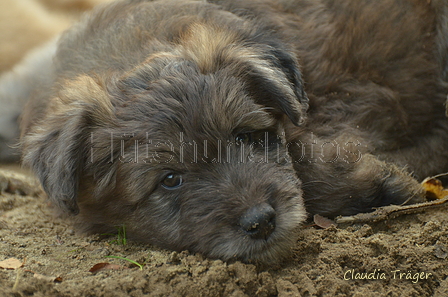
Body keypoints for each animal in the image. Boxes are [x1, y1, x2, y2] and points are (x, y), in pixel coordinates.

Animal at [1, 0, 446, 264]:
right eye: (169, 179)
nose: (261, 222)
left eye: (245, 136)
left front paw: (388, 185)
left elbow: (310, 156)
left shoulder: (355, 95)